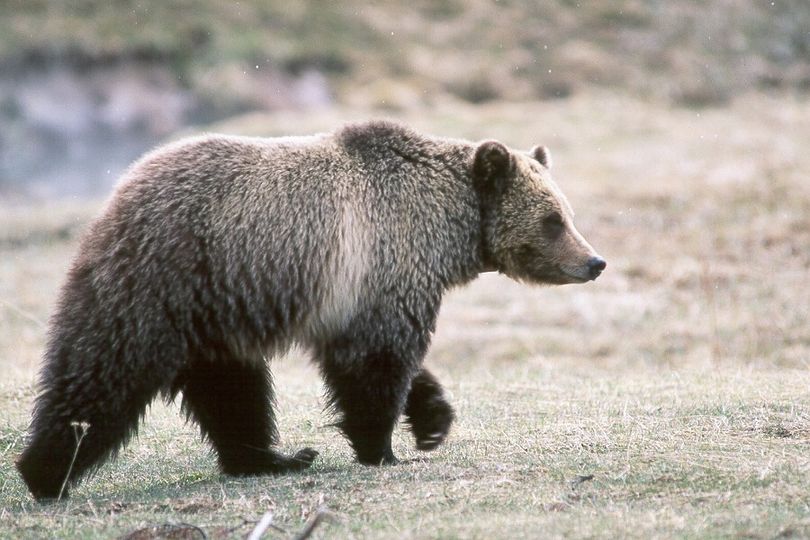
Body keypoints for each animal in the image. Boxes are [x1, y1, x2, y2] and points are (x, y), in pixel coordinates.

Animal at [15, 120, 604, 500]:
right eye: (553, 219)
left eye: (568, 213)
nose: (593, 261)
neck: (447, 226)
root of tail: (118, 194)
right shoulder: (382, 262)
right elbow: (376, 363)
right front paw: (381, 447)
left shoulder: (365, 295)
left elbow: (385, 358)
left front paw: (432, 419)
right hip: (163, 282)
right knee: (104, 373)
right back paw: (45, 472)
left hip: (215, 312)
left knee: (232, 391)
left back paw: (269, 459)